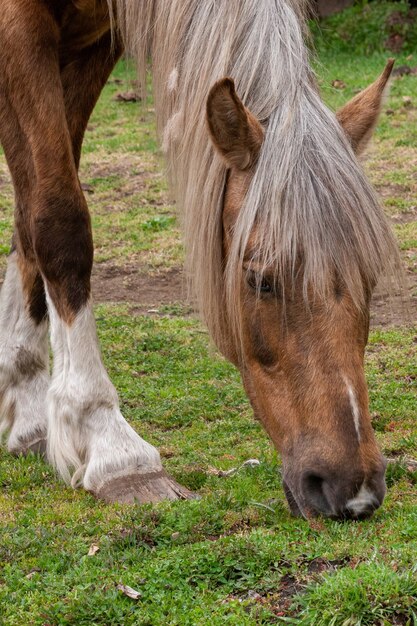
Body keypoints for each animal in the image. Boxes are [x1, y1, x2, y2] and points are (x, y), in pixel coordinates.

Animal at [0, 0, 400, 516]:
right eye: (260, 280)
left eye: (369, 278)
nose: (354, 491)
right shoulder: (19, 28)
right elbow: (56, 220)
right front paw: (111, 445)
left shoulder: (93, 45)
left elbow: (28, 216)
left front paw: (27, 405)